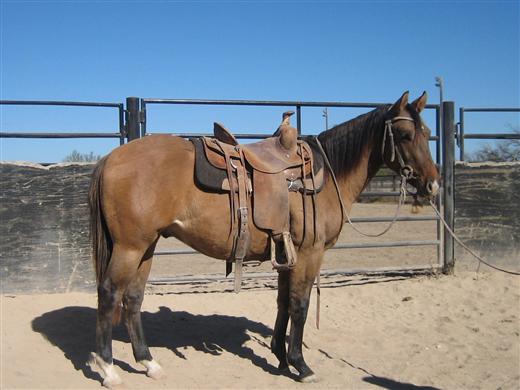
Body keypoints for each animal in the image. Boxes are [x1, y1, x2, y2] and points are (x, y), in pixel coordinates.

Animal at [88, 91, 438, 386]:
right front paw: (301, 365)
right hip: (130, 247)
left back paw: (148, 363)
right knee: (109, 294)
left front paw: (281, 356)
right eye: (405, 135)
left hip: (146, 247)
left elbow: (283, 302)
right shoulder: (309, 254)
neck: (326, 176)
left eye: (427, 133)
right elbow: (300, 305)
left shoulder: (286, 253)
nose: (433, 185)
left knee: (133, 298)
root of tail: (111, 158)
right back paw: (108, 369)